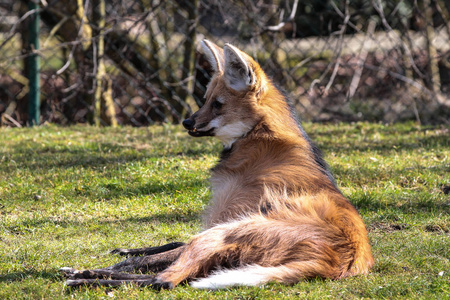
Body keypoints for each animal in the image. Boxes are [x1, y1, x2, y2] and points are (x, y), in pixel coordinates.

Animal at [62, 39, 372, 288]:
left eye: (218, 104)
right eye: (205, 99)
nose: (187, 122)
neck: (256, 136)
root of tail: (342, 259)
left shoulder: (222, 221)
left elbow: (156, 258)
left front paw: (103, 265)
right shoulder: (218, 222)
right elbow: (170, 244)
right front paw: (127, 251)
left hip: (227, 232)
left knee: (164, 281)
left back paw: (81, 277)